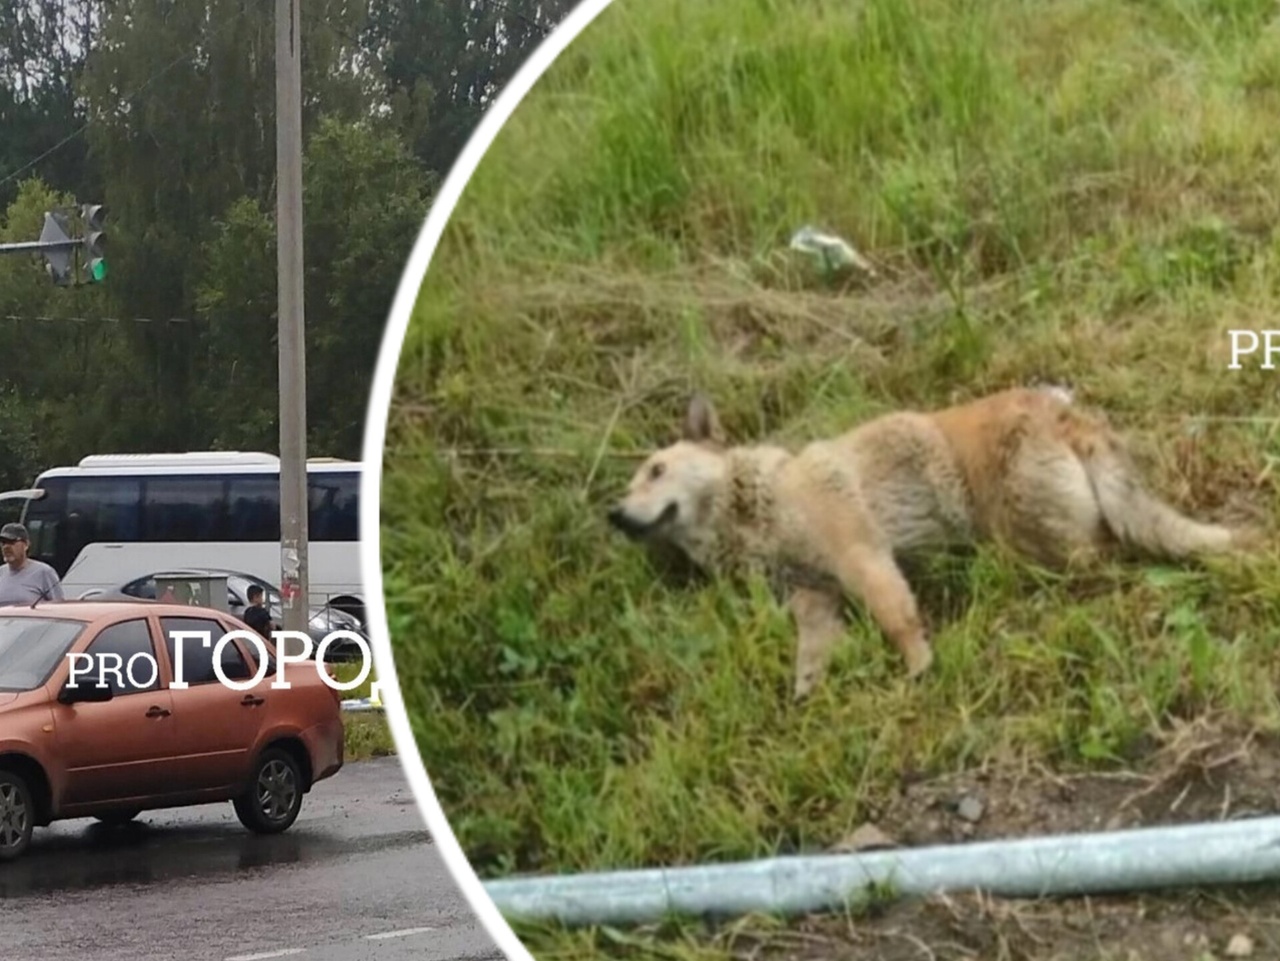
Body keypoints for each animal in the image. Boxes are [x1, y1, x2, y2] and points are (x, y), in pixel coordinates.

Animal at [606, 386, 1259, 696]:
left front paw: (919, 665)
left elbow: (895, 614)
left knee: (1109, 555)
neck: (755, 502)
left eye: (655, 471)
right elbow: (813, 647)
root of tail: (1064, 413)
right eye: (634, 480)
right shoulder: (814, 596)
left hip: (1036, 537)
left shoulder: (859, 552)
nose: (612, 515)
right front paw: (808, 688)